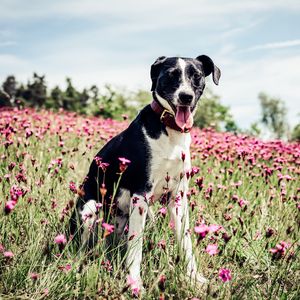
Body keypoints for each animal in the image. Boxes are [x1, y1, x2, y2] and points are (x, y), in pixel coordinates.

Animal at [69, 54, 220, 290]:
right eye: (171, 75)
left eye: (196, 76)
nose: (186, 97)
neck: (170, 131)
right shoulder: (140, 193)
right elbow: (136, 248)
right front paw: (134, 283)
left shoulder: (177, 197)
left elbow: (186, 242)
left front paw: (194, 278)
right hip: (90, 210)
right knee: (83, 248)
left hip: (146, 215)